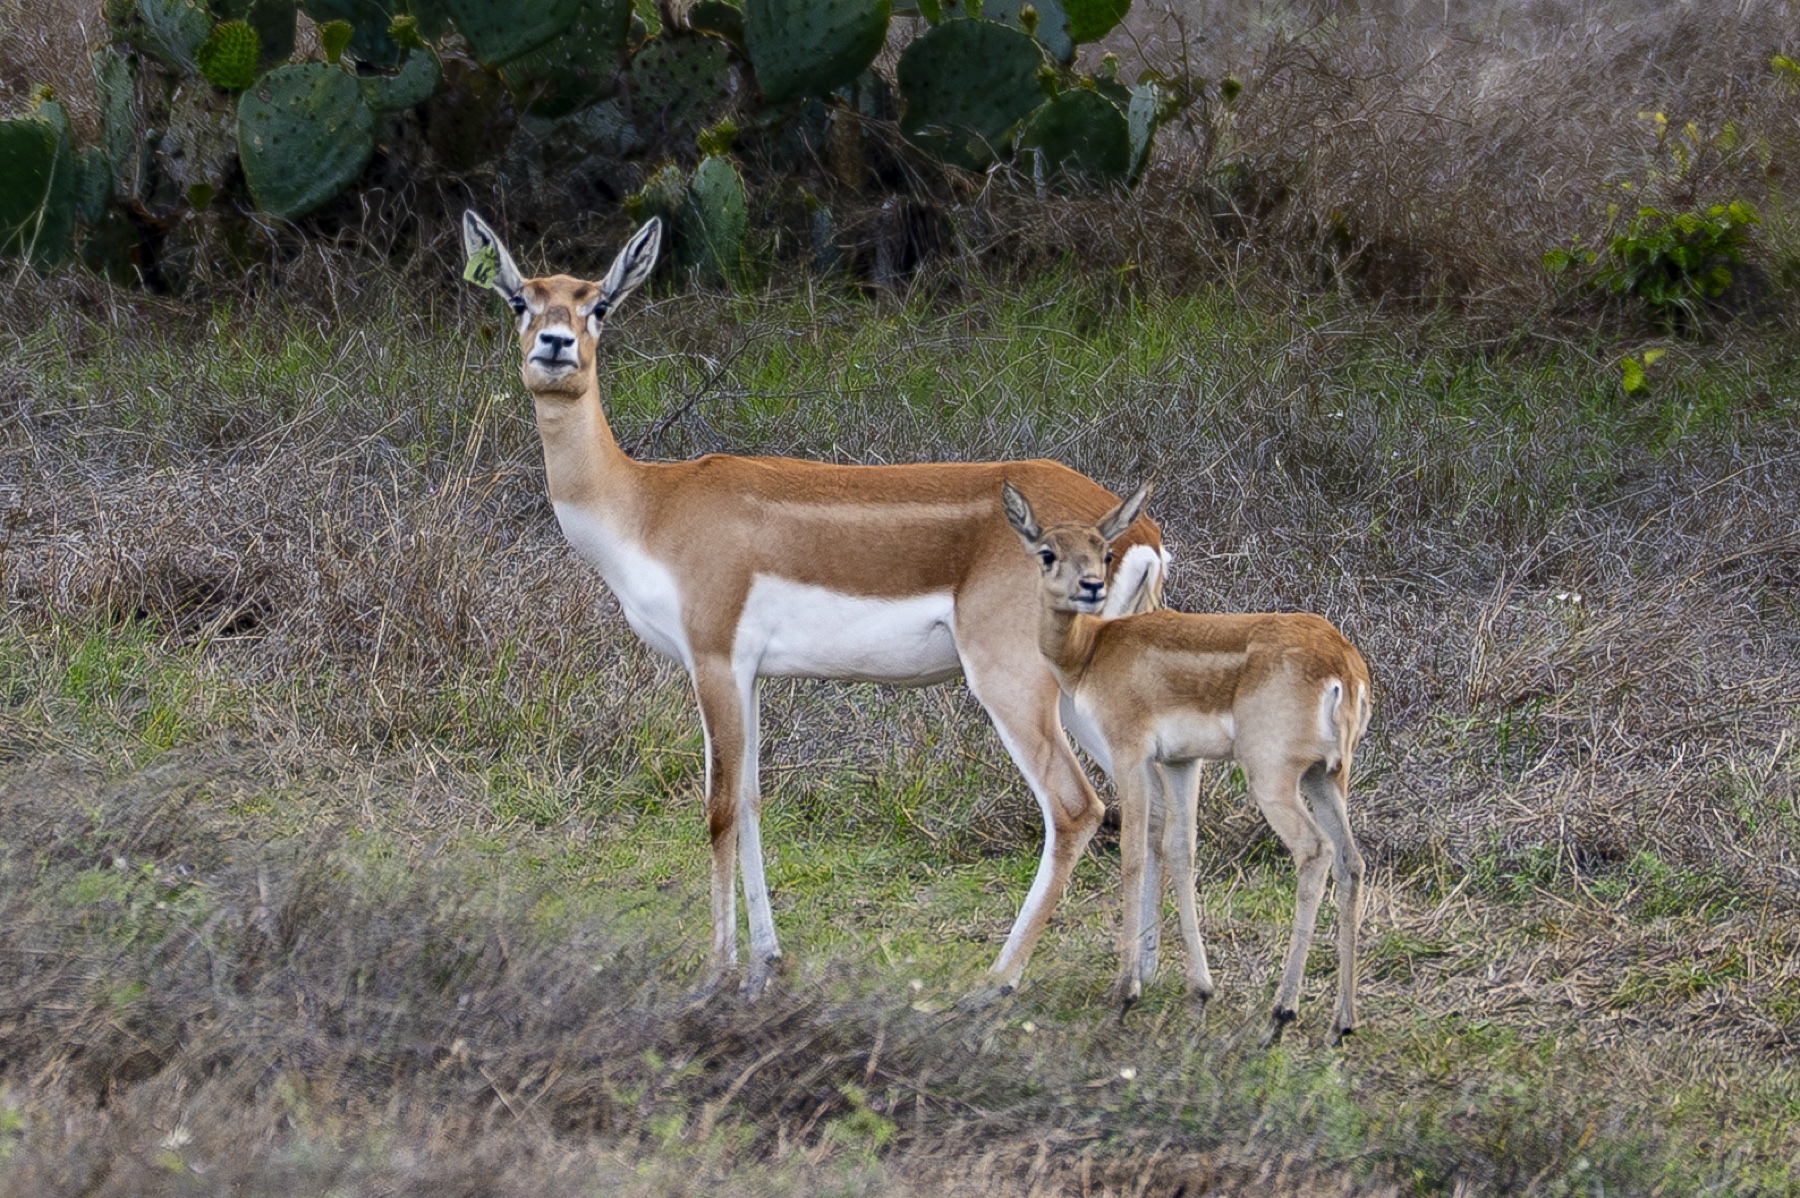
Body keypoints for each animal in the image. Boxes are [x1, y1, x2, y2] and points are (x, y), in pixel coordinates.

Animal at [460, 211, 1170, 1001]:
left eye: (600, 306)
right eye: (520, 300)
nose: (555, 345)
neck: (650, 505)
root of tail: (1131, 528)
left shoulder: (713, 660)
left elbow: (717, 809)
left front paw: (715, 974)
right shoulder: (749, 675)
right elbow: (751, 802)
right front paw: (764, 965)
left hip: (1014, 682)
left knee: (1078, 809)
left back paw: (995, 983)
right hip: (1087, 688)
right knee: (1152, 802)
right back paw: (1139, 978)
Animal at [1002, 480, 1371, 1044]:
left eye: (1104, 551)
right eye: (1048, 552)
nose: (1090, 588)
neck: (1092, 652)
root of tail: (1342, 666)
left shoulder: (1129, 751)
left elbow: (1133, 852)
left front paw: (1125, 993)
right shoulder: (1183, 763)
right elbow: (1182, 850)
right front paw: (1199, 990)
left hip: (1273, 779)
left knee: (1315, 852)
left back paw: (1280, 1014)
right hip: (1326, 777)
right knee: (1351, 860)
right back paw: (1341, 1022)